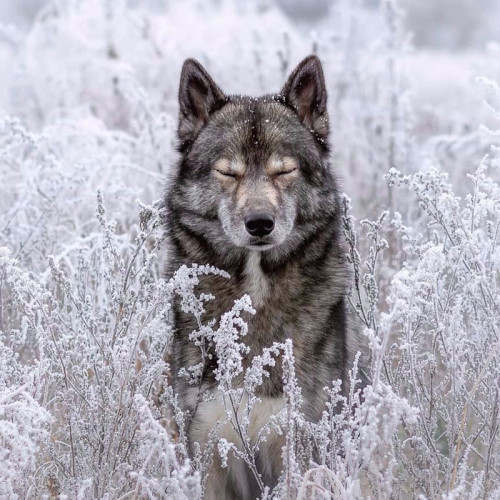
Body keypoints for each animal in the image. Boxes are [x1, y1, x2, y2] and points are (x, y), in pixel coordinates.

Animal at [164, 55, 368, 500]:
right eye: (228, 172)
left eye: (284, 171)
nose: (260, 223)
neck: (255, 295)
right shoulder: (207, 450)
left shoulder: (299, 450)